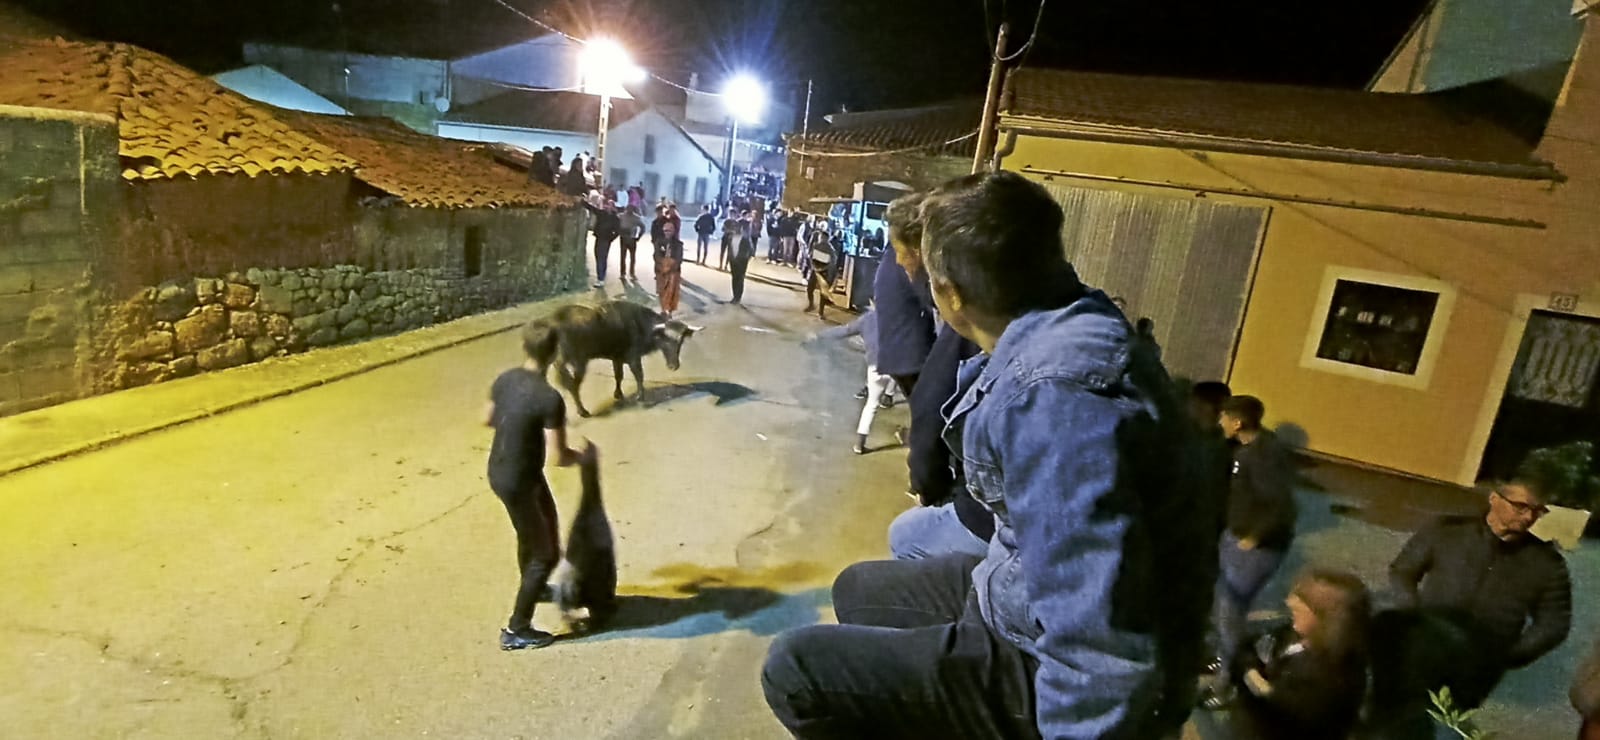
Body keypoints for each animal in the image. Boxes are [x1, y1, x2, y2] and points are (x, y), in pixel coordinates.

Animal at [524, 299, 700, 416]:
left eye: (681, 341)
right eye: (666, 339)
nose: (674, 366)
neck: (641, 325)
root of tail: (551, 322)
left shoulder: (617, 358)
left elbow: (618, 376)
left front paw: (618, 394)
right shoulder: (633, 357)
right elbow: (639, 376)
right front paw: (640, 397)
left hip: (545, 361)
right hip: (578, 361)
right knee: (571, 383)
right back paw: (582, 410)